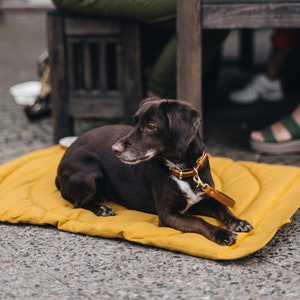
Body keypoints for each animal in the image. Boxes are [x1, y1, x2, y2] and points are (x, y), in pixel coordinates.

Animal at [55, 97, 252, 245]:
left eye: (150, 126)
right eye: (134, 122)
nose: (115, 149)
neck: (183, 170)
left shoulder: (204, 198)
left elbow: (223, 207)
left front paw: (238, 222)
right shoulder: (168, 214)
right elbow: (198, 221)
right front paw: (222, 233)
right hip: (88, 172)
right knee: (77, 203)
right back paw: (101, 208)